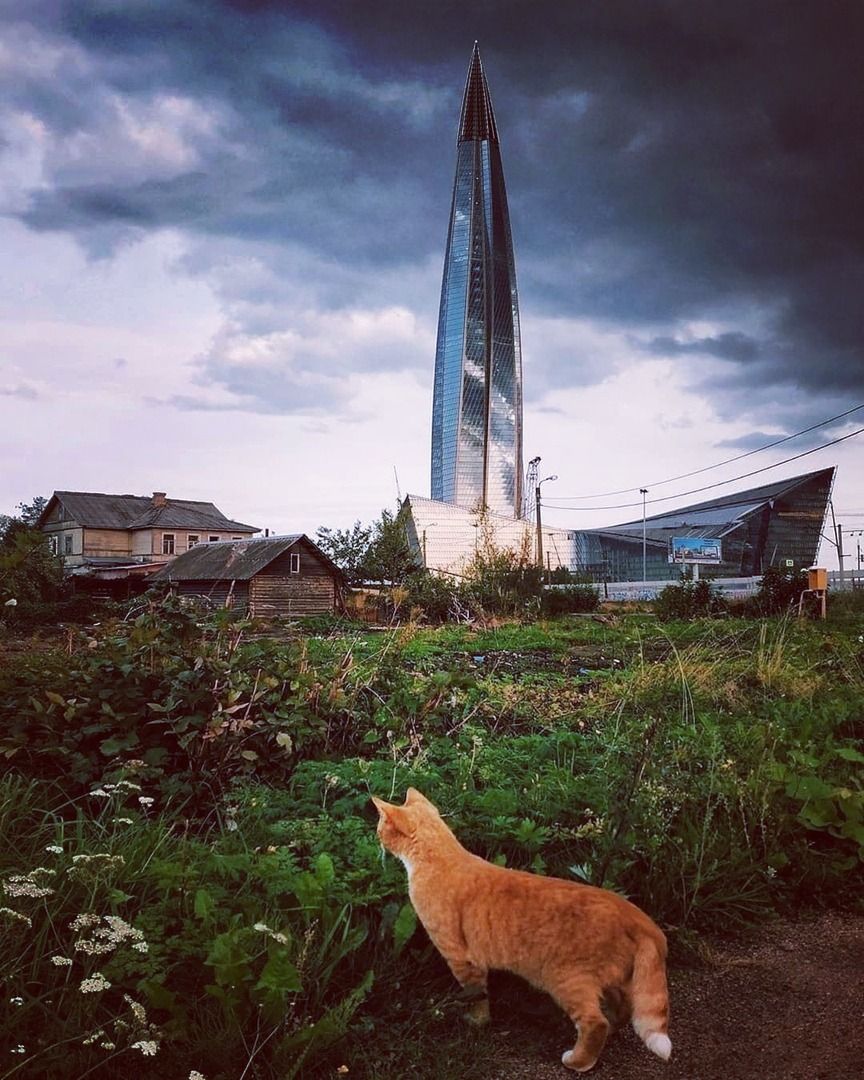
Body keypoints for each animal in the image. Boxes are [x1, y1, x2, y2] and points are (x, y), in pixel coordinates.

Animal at [372, 788, 671, 1073]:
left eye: (380, 826)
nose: (376, 838)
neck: (442, 856)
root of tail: (640, 918)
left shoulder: (461, 958)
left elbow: (476, 995)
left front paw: (476, 1022)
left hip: (567, 979)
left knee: (596, 1023)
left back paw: (578, 1061)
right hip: (610, 980)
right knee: (622, 1010)